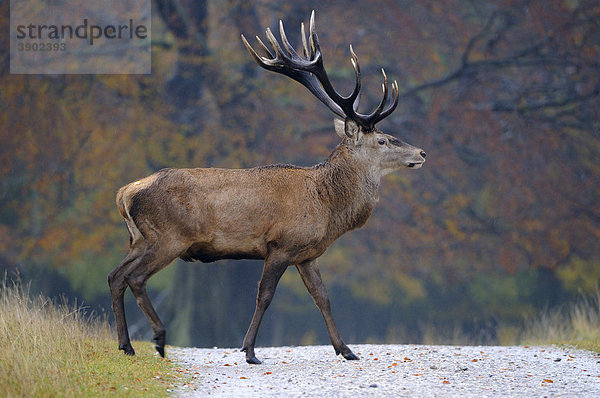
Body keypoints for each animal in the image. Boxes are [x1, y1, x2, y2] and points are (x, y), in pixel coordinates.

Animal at [109, 10, 426, 364]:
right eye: (383, 140)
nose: (421, 153)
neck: (326, 205)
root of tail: (125, 193)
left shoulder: (307, 253)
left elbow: (322, 297)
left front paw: (346, 350)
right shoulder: (280, 245)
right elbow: (265, 295)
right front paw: (249, 350)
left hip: (139, 239)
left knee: (115, 276)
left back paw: (126, 344)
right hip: (169, 237)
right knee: (135, 278)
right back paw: (159, 338)